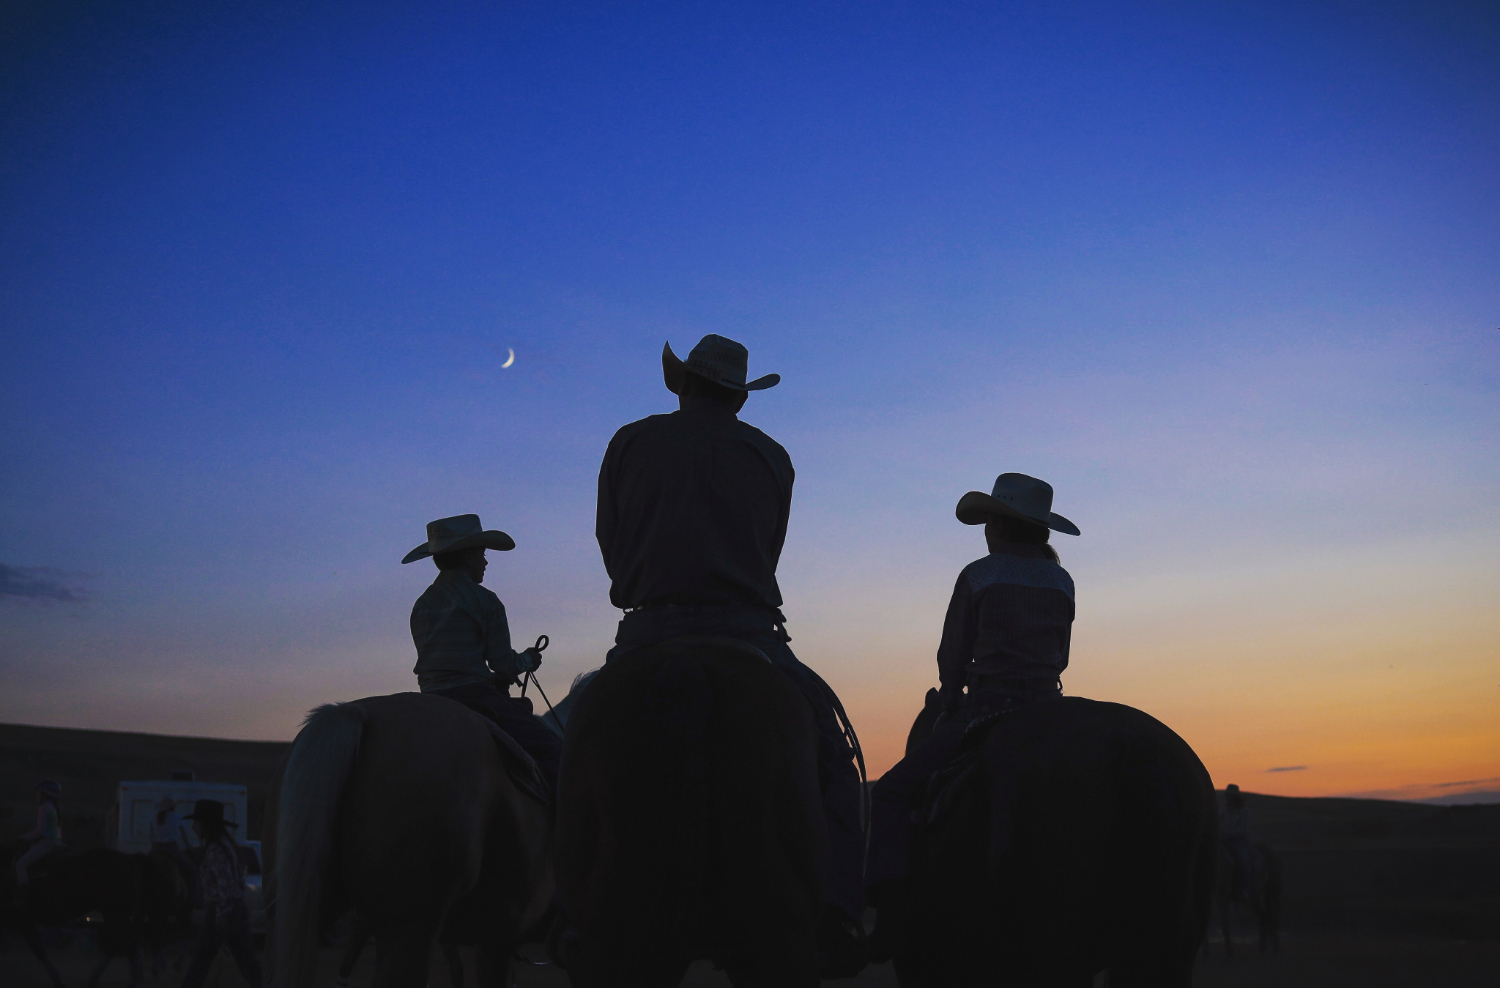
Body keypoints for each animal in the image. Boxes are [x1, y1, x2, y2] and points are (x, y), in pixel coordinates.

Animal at [1, 845, 149, 988]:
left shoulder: (24, 922)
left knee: (122, 942)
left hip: (115, 913)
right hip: (114, 914)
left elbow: (38, 950)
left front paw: (57, 979)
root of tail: (130, 859)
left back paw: (128, 980)